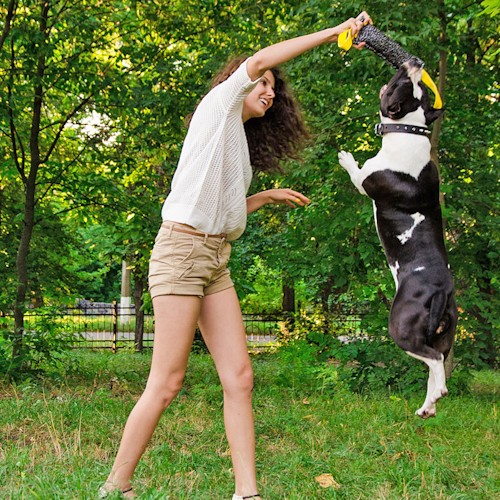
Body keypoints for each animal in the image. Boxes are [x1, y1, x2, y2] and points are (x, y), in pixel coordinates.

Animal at [340, 57, 458, 418]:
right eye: (418, 90)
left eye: (400, 84)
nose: (416, 61)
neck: (409, 129)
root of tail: (441, 290)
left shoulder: (365, 181)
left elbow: (357, 173)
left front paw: (346, 157)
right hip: (443, 333)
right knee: (439, 360)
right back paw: (428, 406)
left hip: (401, 326)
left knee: (433, 362)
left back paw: (435, 396)